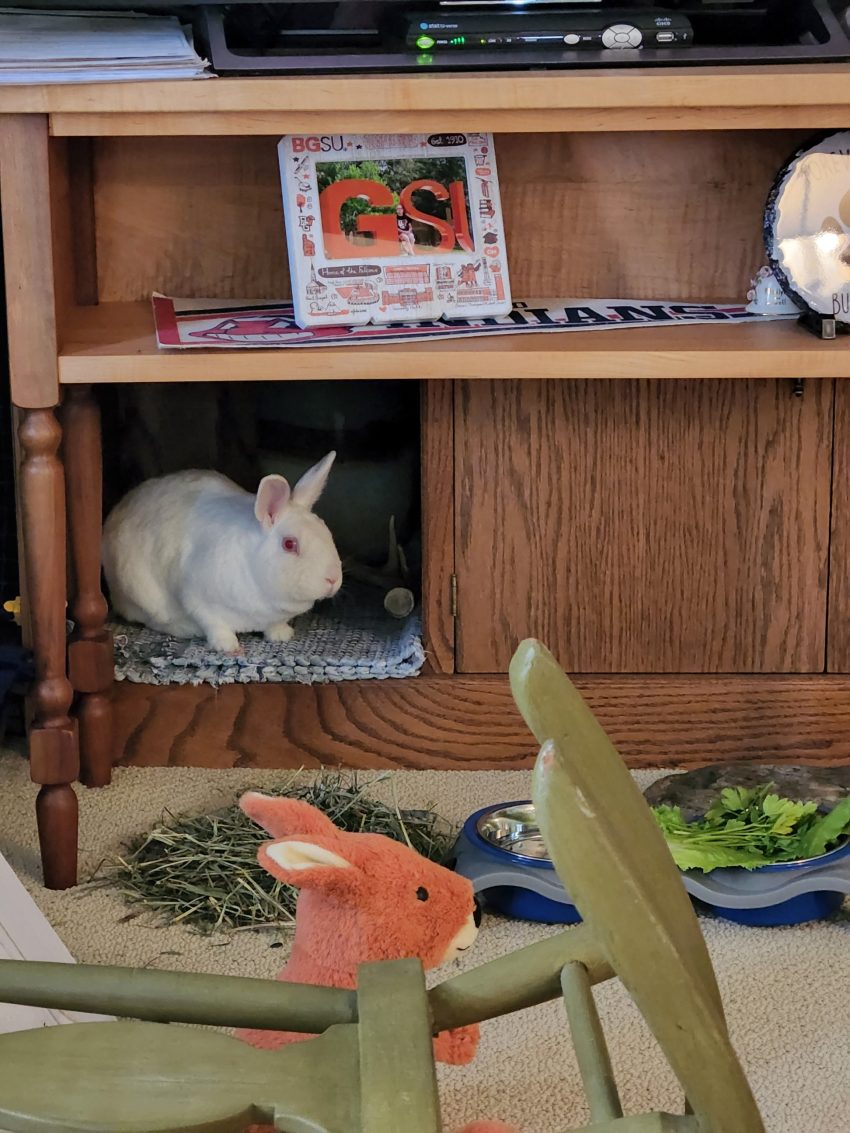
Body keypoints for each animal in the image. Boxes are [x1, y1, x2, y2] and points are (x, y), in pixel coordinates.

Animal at [104, 446, 344, 652]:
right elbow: (215, 624)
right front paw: (227, 646)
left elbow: (275, 625)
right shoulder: (197, 598)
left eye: (326, 530)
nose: (332, 579)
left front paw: (281, 635)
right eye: (289, 544)